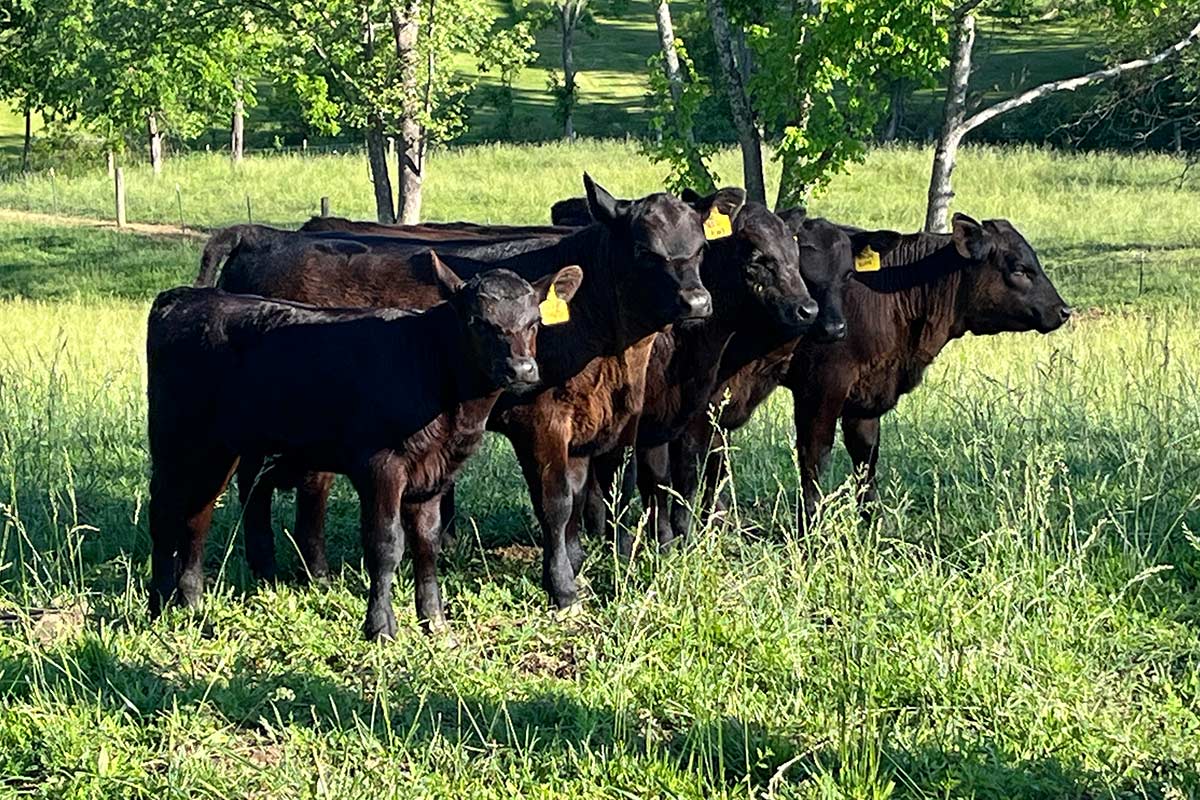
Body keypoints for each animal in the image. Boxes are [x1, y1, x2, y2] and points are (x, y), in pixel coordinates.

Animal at [147, 256, 583, 640]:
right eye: (478, 322)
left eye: (534, 322)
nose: (522, 369)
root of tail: (185, 297)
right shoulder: (380, 466)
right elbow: (385, 544)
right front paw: (381, 627)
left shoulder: (433, 472)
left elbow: (427, 542)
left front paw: (435, 623)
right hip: (174, 440)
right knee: (165, 513)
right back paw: (159, 604)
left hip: (223, 449)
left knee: (199, 515)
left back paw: (191, 601)